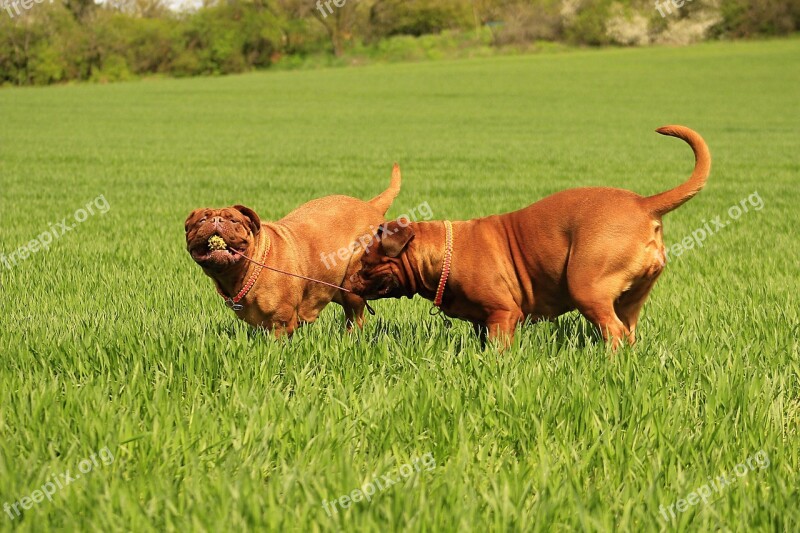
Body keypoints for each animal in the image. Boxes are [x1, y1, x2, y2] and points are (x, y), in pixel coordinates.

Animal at [185, 164, 404, 334]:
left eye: (234, 220)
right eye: (201, 220)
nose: (216, 220)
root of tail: (371, 206)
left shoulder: (281, 324)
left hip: (353, 283)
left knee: (355, 318)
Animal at [354, 126, 708, 348]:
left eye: (366, 262)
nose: (351, 278)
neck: (443, 252)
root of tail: (643, 204)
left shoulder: (503, 315)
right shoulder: (483, 321)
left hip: (587, 287)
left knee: (614, 332)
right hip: (630, 299)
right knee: (629, 330)